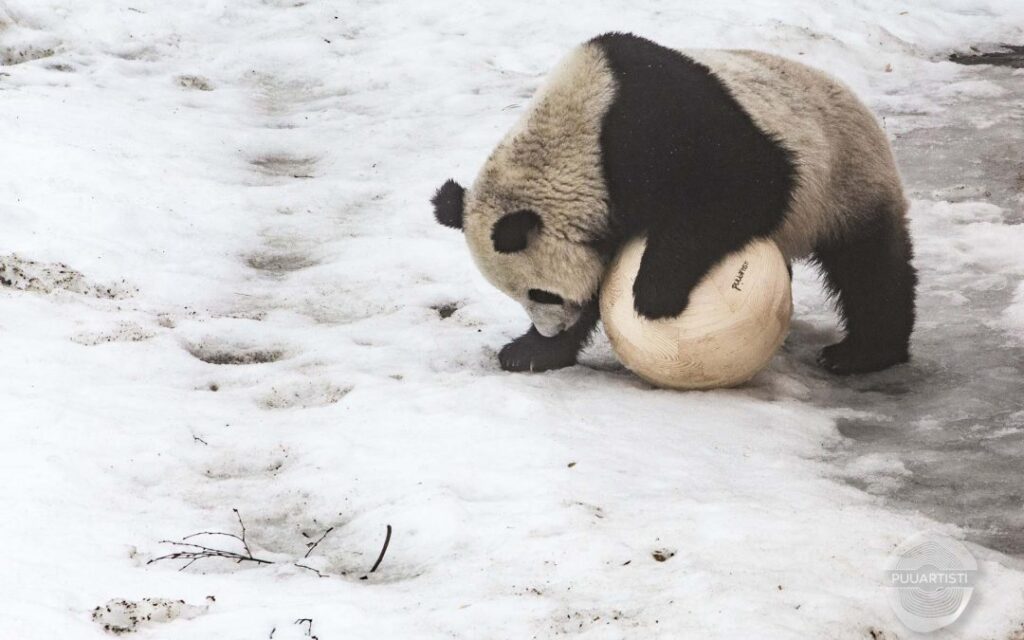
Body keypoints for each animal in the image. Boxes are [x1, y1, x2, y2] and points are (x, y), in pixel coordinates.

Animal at [431, 33, 916, 375]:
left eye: (541, 293)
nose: (553, 327)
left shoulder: (662, 126)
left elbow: (747, 185)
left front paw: (654, 292)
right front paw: (531, 352)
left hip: (845, 178)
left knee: (870, 267)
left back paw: (861, 353)